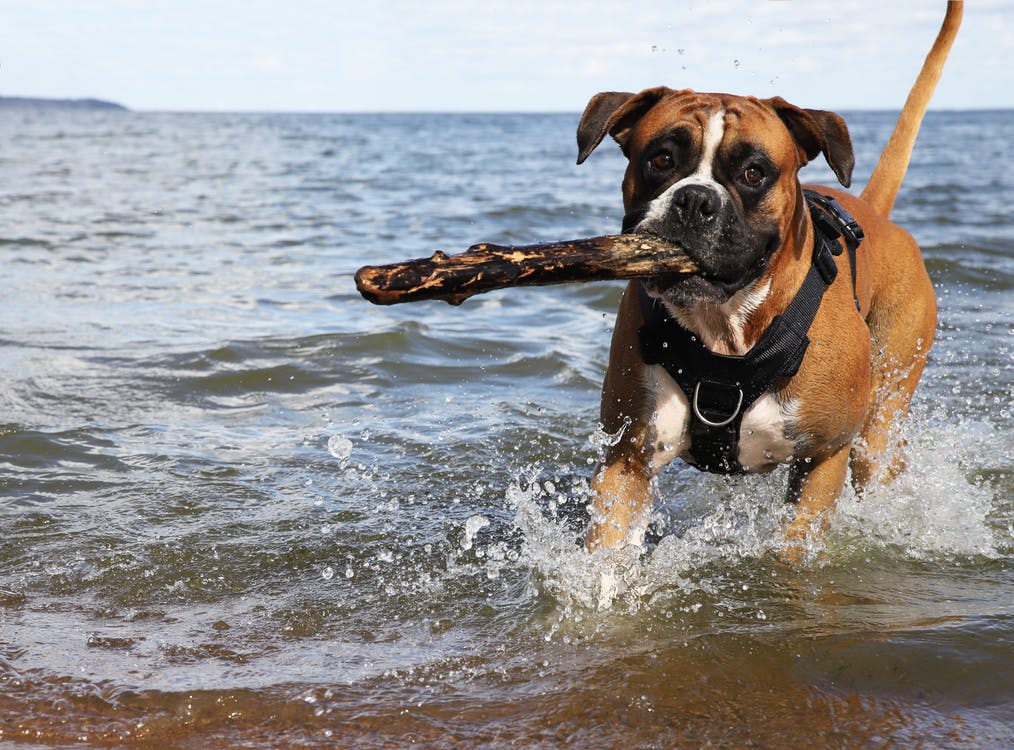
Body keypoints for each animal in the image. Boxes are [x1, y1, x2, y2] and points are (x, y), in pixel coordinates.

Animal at [580, 1, 957, 551]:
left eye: (754, 173)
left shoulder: (823, 460)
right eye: (661, 159)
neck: (726, 329)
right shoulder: (628, 457)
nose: (695, 200)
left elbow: (794, 552)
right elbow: (604, 554)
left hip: (880, 425)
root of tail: (874, 211)